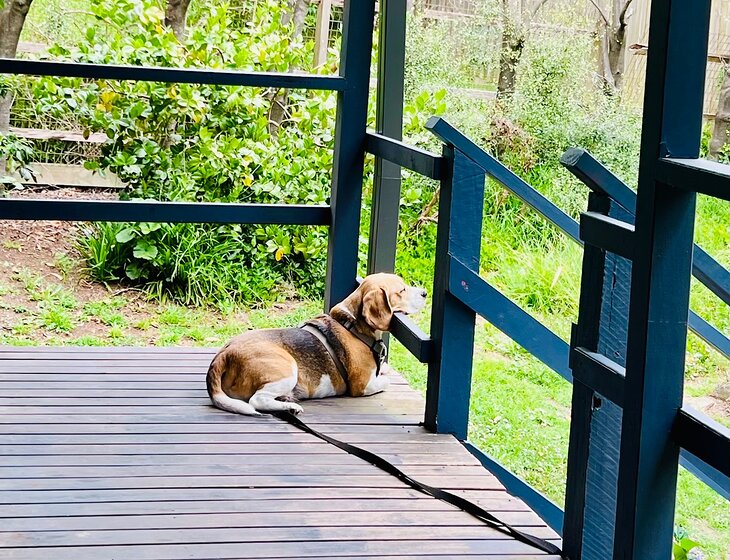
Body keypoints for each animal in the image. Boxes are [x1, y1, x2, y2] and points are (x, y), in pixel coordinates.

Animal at [206, 273, 427, 416]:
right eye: (402, 290)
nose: (425, 292)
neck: (353, 326)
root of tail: (223, 355)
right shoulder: (363, 386)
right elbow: (385, 381)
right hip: (287, 368)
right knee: (257, 400)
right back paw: (290, 407)